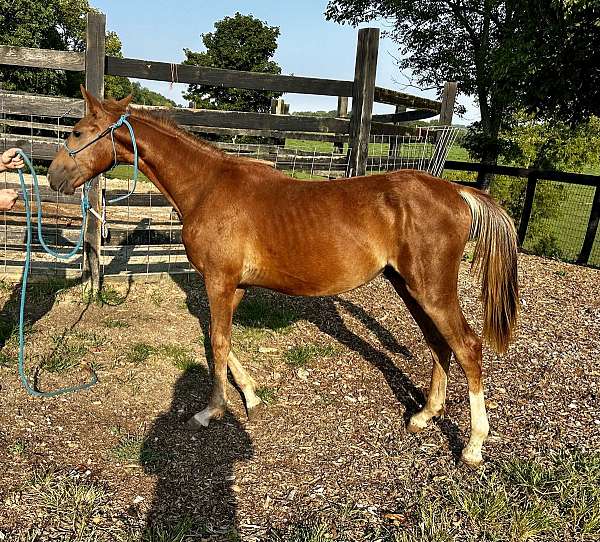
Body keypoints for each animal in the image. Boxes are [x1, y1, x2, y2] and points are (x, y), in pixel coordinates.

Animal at [47, 88, 516, 468]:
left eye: (76, 131)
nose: (53, 176)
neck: (206, 187)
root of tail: (457, 192)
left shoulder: (219, 282)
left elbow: (217, 343)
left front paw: (212, 410)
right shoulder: (234, 286)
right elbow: (224, 342)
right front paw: (251, 395)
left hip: (431, 289)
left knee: (467, 346)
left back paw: (473, 446)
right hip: (409, 287)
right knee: (440, 344)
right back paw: (423, 415)